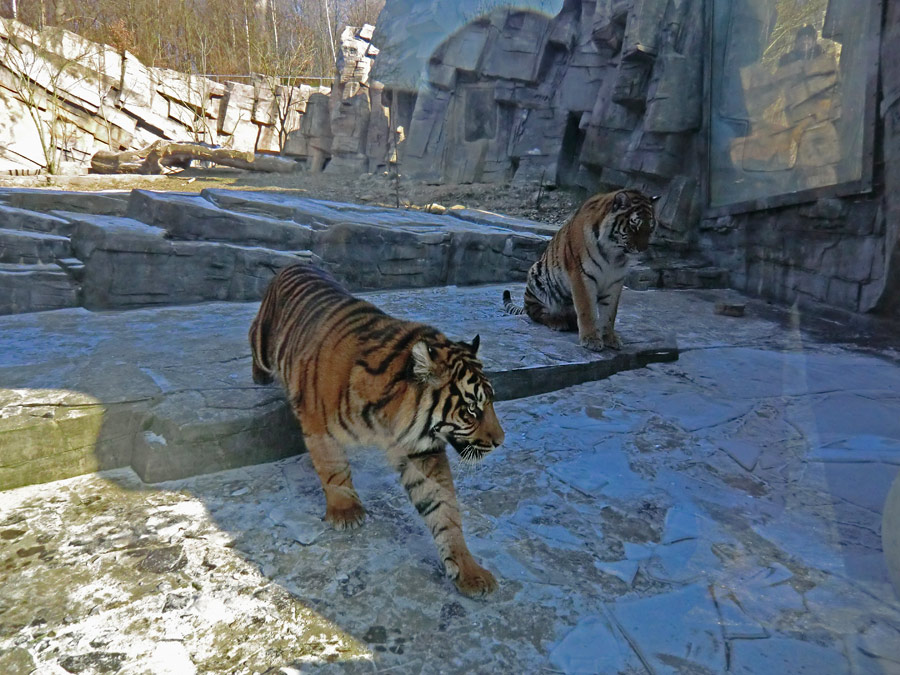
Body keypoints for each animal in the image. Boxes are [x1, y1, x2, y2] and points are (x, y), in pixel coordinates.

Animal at [251, 264, 506, 596]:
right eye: (472, 410)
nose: (501, 441)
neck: (390, 416)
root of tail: (294, 264)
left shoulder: (421, 450)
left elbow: (443, 507)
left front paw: (468, 570)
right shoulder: (319, 425)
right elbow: (333, 467)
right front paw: (346, 512)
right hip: (263, 340)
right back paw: (259, 376)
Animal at [502, 187, 656, 352]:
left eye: (650, 228)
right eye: (634, 226)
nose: (643, 249)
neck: (614, 254)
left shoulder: (615, 281)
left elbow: (610, 313)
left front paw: (609, 338)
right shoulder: (582, 275)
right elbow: (586, 309)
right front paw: (591, 339)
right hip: (537, 275)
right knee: (536, 312)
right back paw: (557, 321)